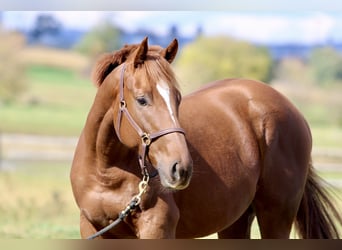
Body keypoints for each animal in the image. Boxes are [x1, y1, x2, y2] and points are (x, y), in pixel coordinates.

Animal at [71, 37, 340, 238]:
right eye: (141, 99)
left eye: (178, 98)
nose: (180, 168)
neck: (107, 171)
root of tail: (291, 109)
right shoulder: (92, 228)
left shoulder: (157, 227)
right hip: (236, 220)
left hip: (276, 216)